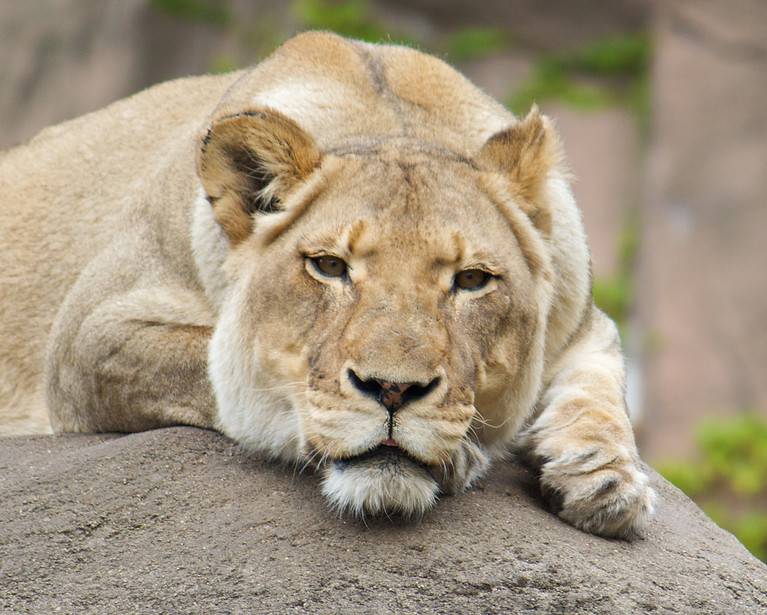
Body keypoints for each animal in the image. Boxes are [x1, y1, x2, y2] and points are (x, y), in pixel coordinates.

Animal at [0, 31, 654, 538]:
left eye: (471, 280)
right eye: (330, 266)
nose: (393, 390)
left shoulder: (584, 320)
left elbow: (601, 389)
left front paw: (605, 478)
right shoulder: (87, 339)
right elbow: (214, 369)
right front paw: (464, 453)